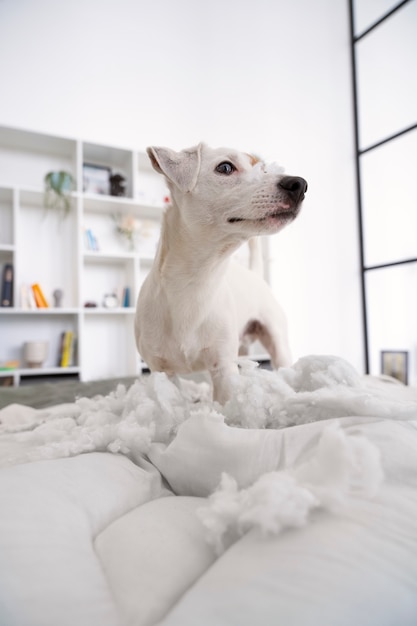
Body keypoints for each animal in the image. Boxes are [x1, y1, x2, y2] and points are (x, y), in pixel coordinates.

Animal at [134, 143, 306, 402]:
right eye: (225, 167)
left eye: (264, 170)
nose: (300, 184)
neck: (196, 279)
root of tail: (255, 274)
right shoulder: (163, 372)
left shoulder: (223, 366)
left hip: (277, 342)